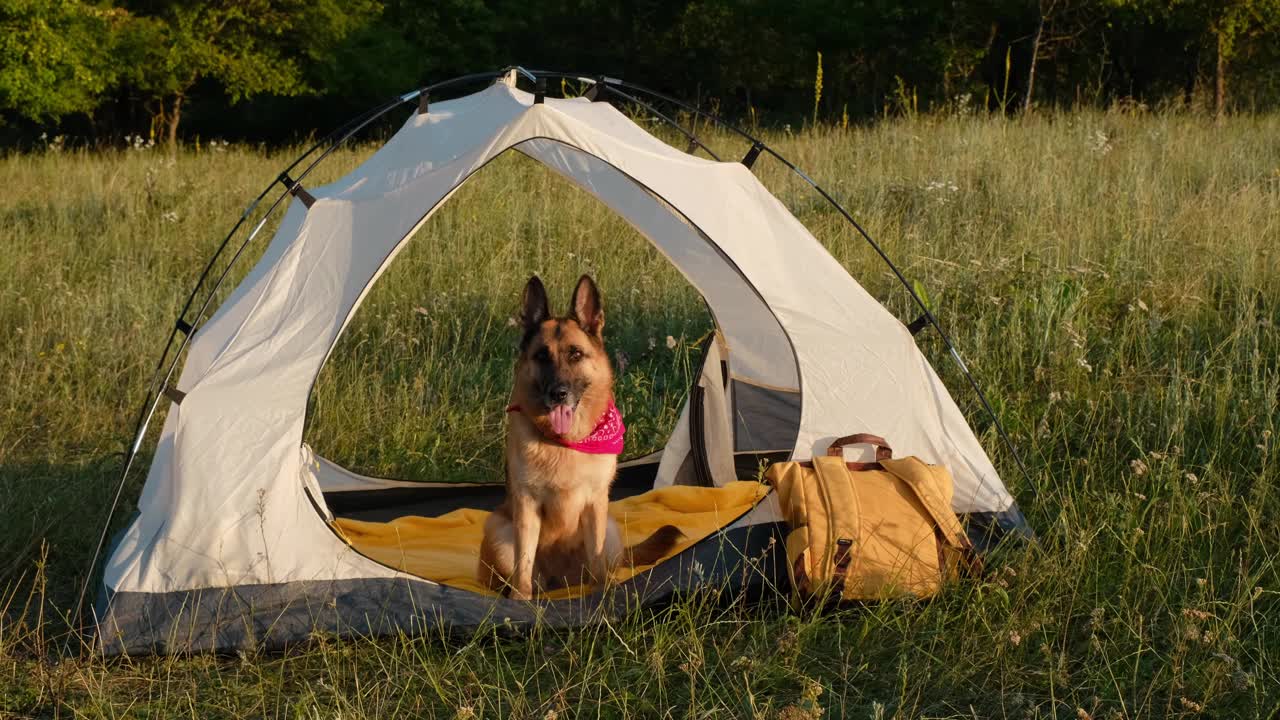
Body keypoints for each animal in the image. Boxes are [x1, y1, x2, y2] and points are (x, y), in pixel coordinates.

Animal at [478, 271, 680, 597]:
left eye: (575, 354)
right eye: (542, 356)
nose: (558, 393)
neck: (566, 444)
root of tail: (562, 580)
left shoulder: (596, 504)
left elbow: (596, 557)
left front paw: (604, 595)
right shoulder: (526, 507)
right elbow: (524, 565)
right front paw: (520, 600)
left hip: (610, 529)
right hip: (498, 529)